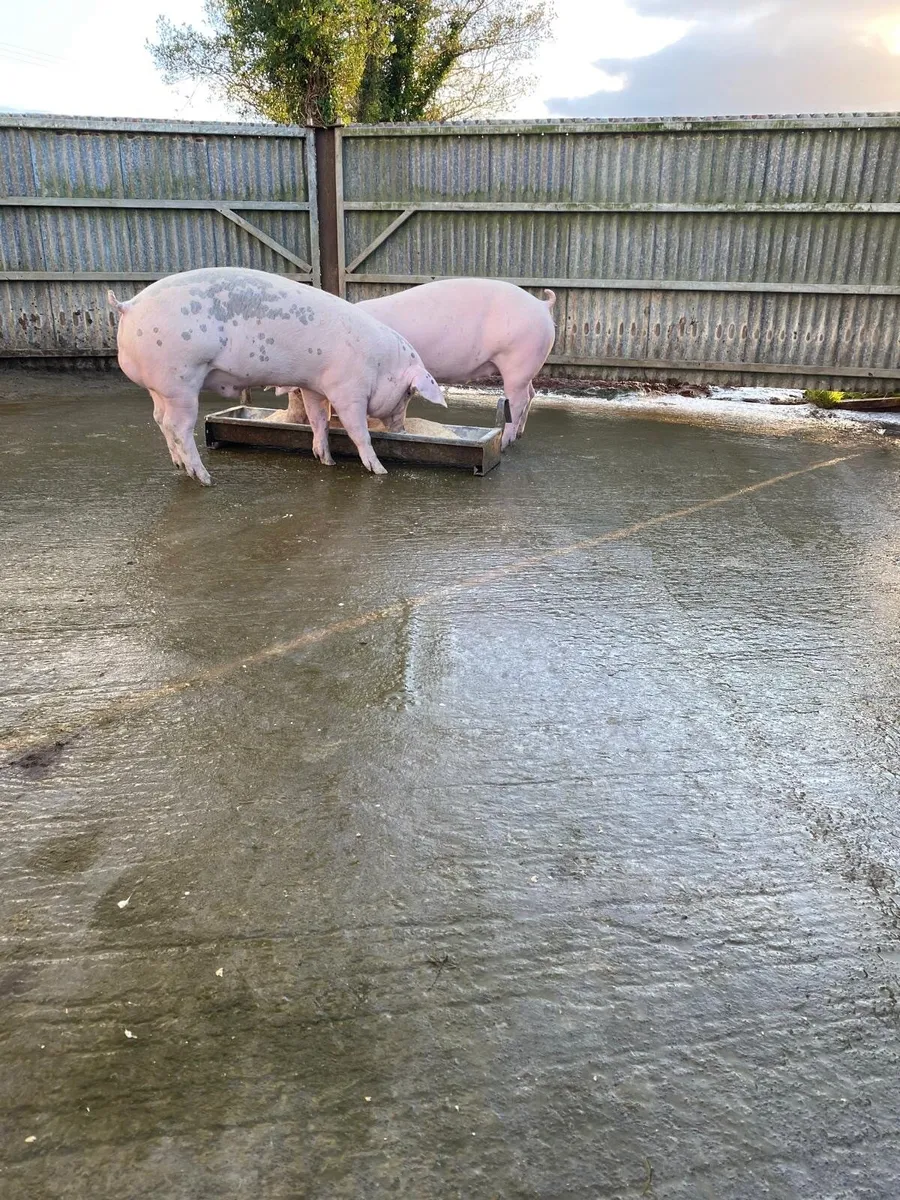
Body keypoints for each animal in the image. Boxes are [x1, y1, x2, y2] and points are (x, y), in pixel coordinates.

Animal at [108, 267, 445, 483]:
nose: (402, 429)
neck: (379, 364)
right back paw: (204, 478)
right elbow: (357, 430)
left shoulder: (313, 386)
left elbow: (319, 421)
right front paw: (380, 471)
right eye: (409, 392)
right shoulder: (347, 389)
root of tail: (128, 305)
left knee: (158, 419)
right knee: (177, 426)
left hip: (159, 387)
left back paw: (179, 466)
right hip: (181, 379)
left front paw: (327, 460)